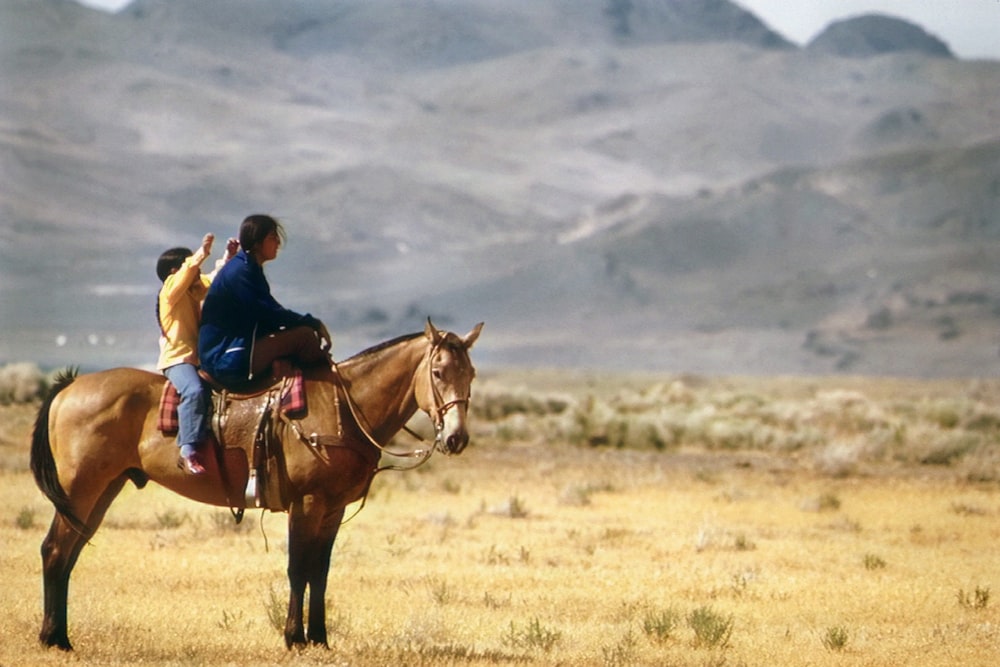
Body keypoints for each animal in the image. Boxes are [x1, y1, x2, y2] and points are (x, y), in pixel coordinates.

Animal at [31, 320, 484, 648]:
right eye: (438, 372)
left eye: (472, 373)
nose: (456, 438)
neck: (341, 408)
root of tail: (70, 386)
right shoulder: (308, 503)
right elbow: (299, 567)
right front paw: (294, 637)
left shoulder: (333, 508)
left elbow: (320, 571)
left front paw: (320, 638)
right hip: (81, 489)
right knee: (54, 550)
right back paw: (54, 640)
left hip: (103, 490)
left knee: (69, 554)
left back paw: (59, 635)